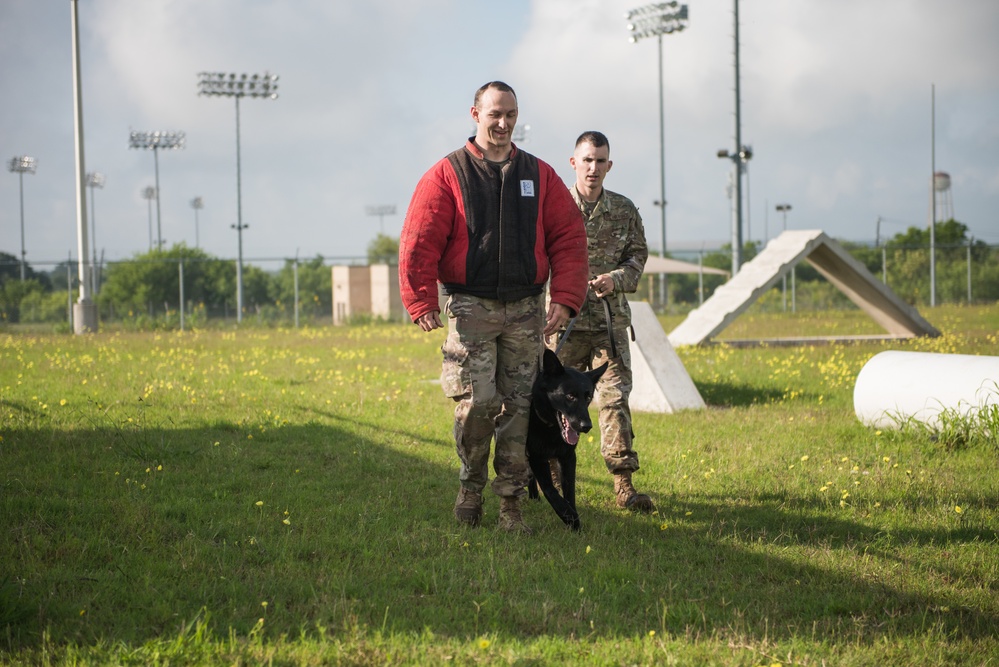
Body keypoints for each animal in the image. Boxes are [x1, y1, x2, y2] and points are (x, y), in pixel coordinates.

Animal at [528, 350, 604, 532]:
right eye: (570, 396)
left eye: (588, 397)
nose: (586, 426)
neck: (551, 429)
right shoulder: (536, 457)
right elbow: (551, 490)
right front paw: (570, 517)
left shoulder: (568, 457)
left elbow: (570, 491)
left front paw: (573, 522)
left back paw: (534, 498)